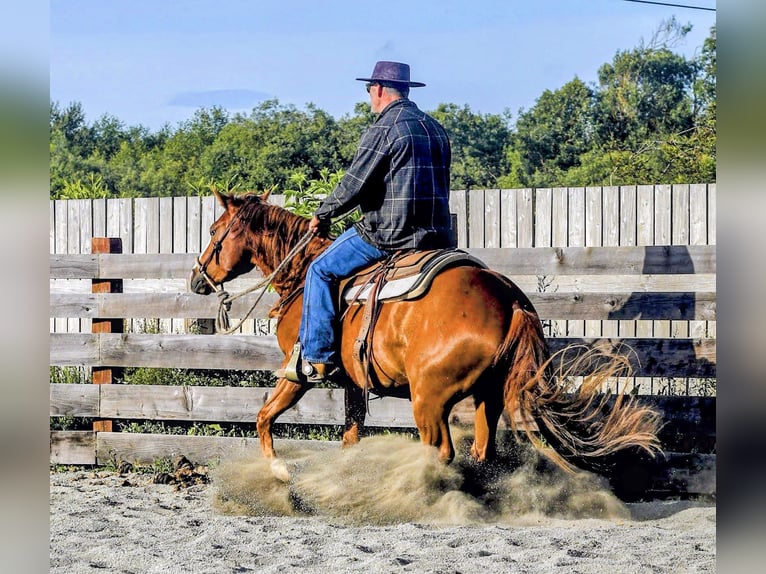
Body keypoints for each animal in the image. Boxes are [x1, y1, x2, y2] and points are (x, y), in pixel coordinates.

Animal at [189, 189, 661, 475]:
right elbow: (351, 431)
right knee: (480, 449)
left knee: (441, 451)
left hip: (429, 399)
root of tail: (509, 299)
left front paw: (277, 472)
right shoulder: (354, 382)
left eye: (213, 231)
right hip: (488, 395)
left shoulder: (299, 371)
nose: (197, 280)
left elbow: (265, 416)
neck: (304, 273)